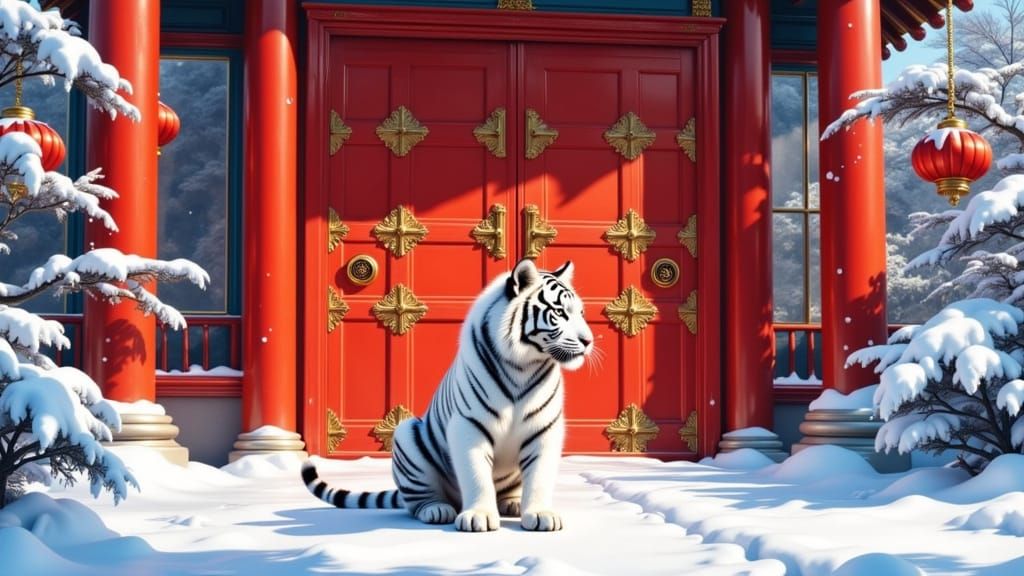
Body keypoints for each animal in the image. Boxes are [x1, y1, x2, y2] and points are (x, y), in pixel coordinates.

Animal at [302, 258, 593, 532]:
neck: (523, 365)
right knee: (418, 501)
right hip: (407, 436)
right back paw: (437, 510)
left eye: (580, 312)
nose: (588, 341)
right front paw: (479, 517)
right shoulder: (468, 426)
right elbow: (476, 474)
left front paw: (541, 515)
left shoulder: (545, 429)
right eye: (559, 313)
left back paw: (512, 503)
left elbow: (539, 476)